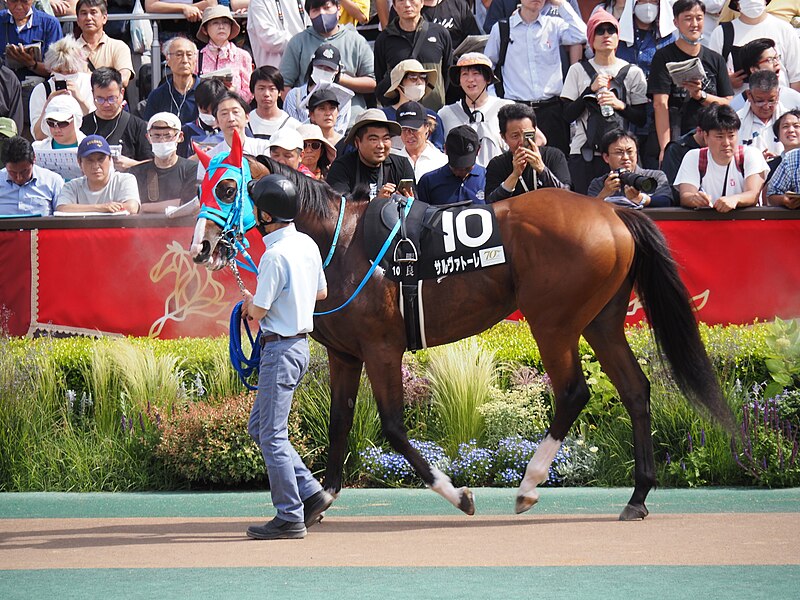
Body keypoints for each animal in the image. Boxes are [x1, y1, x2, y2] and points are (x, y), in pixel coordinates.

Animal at [191, 134, 736, 516]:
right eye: (200, 187)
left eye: (226, 186)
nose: (201, 247)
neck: (340, 242)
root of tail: (613, 213)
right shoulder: (345, 354)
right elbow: (340, 423)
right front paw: (319, 500)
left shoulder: (381, 348)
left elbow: (392, 427)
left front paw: (458, 494)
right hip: (600, 321)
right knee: (636, 389)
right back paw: (637, 496)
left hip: (553, 322)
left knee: (573, 392)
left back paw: (529, 484)